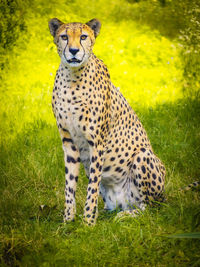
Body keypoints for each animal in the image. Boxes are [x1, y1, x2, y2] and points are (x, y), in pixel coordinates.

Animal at [48, 17, 166, 225]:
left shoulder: (97, 143)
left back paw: (125, 215)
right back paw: (106, 213)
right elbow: (69, 185)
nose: (73, 51)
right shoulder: (68, 142)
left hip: (143, 157)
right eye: (64, 37)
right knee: (113, 205)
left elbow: (92, 186)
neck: (72, 78)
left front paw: (87, 223)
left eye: (83, 37)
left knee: (149, 208)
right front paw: (68, 221)